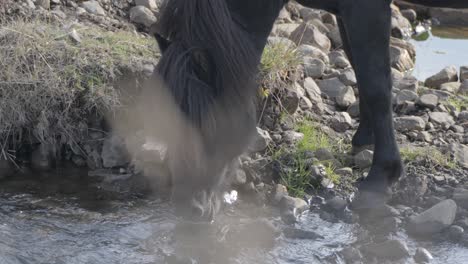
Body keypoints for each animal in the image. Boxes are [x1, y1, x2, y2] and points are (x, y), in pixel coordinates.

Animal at [150, 0, 468, 221]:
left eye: (207, 123)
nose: (188, 207)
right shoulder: (346, 13)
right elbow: (359, 69)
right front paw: (365, 138)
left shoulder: (367, 10)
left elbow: (376, 85)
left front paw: (382, 175)